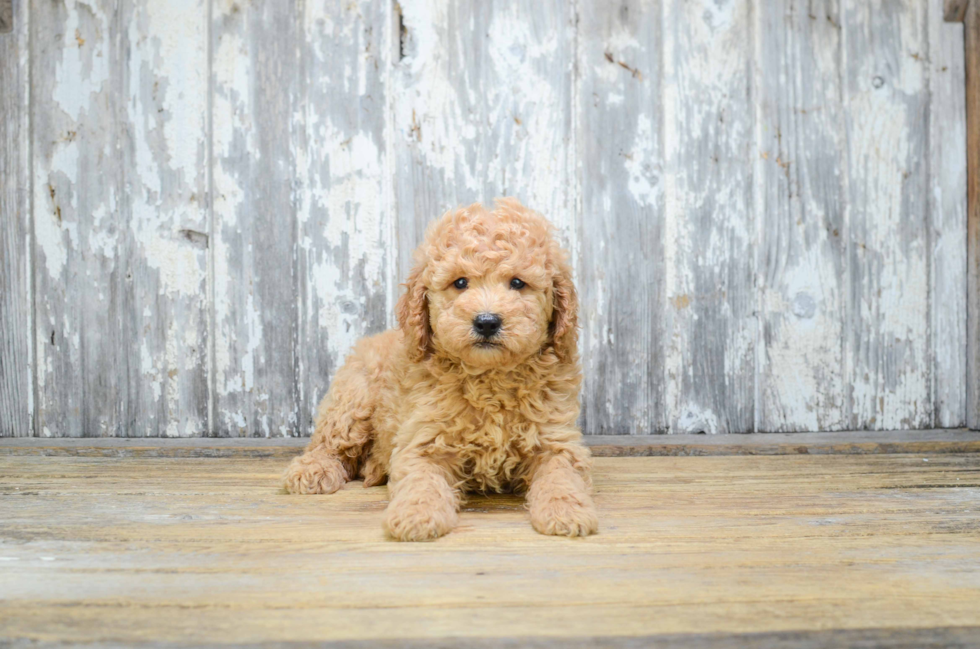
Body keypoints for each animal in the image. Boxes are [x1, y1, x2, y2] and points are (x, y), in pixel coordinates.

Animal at [284, 197, 596, 540]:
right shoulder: (423, 440)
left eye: (517, 283)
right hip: (353, 400)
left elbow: (561, 475)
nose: (487, 321)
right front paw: (416, 515)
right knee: (328, 443)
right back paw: (313, 470)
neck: (490, 380)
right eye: (459, 283)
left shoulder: (555, 439)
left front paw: (565, 511)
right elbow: (421, 480)